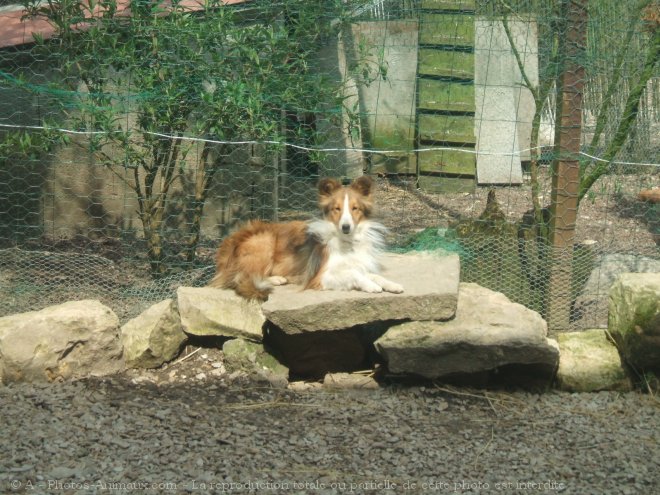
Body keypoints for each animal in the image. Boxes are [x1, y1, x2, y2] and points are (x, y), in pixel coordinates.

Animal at [209, 176, 402, 300]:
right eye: (337, 209)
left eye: (355, 208)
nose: (346, 227)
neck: (347, 242)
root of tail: (230, 241)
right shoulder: (320, 277)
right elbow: (353, 274)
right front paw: (371, 286)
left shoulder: (356, 264)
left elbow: (373, 275)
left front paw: (391, 284)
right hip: (264, 241)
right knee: (241, 277)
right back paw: (276, 279)